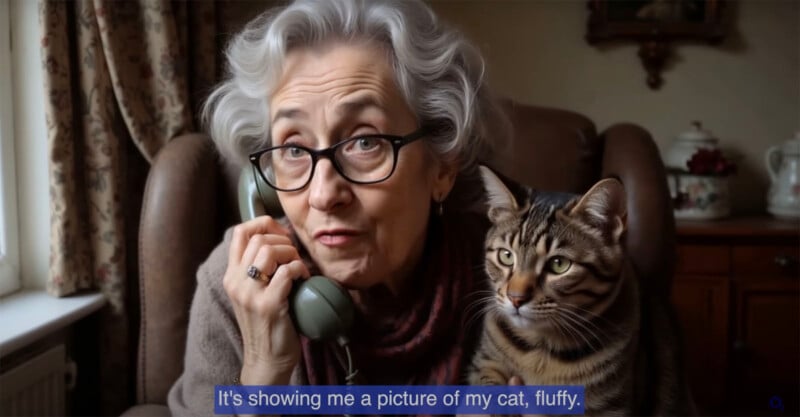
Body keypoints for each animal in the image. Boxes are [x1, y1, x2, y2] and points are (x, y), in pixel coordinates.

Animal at [468, 165, 692, 412]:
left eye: (559, 264)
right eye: (506, 256)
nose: (515, 298)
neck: (540, 348)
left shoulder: (610, 405)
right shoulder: (485, 364)